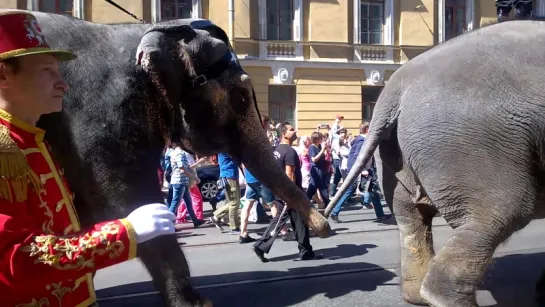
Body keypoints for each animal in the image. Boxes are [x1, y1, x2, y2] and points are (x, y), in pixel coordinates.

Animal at [326, 20, 544, 306]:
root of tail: (396, 88)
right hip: (472, 144)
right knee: (505, 210)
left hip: (398, 155)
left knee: (410, 217)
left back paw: (417, 296)